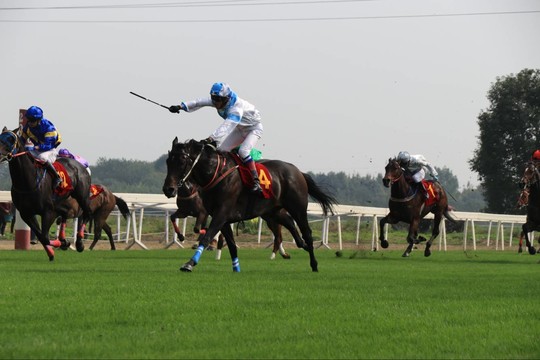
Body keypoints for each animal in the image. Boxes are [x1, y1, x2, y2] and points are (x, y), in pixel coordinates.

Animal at [0, 128, 92, 260]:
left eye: (11, 139)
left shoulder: (48, 211)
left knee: (87, 214)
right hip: (62, 201)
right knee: (65, 215)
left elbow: (44, 236)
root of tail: (80, 165)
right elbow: (41, 236)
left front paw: (61, 244)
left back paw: (79, 243)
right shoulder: (26, 213)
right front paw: (54, 250)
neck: (28, 182)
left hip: (82, 196)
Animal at [162, 139, 338, 272]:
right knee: (289, 224)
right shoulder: (222, 218)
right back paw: (300, 247)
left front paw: (189, 264)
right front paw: (236, 268)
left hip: (298, 208)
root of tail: (298, 172)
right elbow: (231, 245)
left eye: (182, 161)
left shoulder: (221, 213)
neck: (216, 173)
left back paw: (314, 263)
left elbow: (207, 237)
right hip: (272, 212)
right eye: (168, 161)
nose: (168, 189)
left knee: (307, 233)